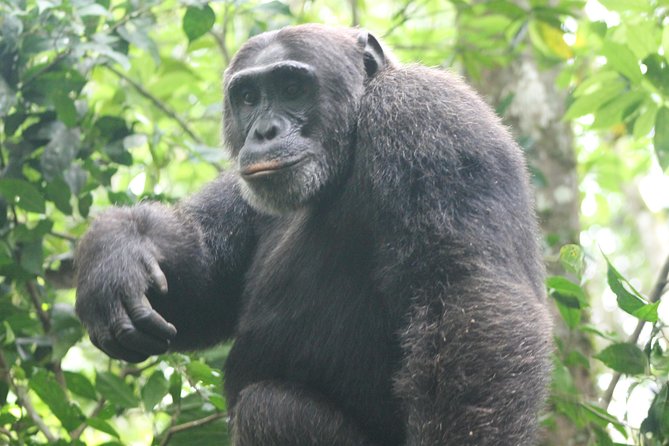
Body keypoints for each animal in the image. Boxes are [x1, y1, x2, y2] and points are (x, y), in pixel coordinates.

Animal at [75, 24, 552, 445]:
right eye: (248, 97)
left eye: (291, 88)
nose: (264, 131)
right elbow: (205, 288)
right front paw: (115, 257)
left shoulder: (429, 119)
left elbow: (465, 300)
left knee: (267, 411)